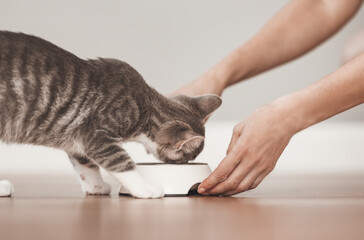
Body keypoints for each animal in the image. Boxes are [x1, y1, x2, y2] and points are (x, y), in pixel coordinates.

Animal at [0, 30, 222, 199]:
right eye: (187, 157)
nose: (186, 164)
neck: (146, 106)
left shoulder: (77, 137)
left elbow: (85, 162)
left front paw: (96, 186)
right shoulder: (95, 134)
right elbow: (119, 160)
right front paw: (145, 188)